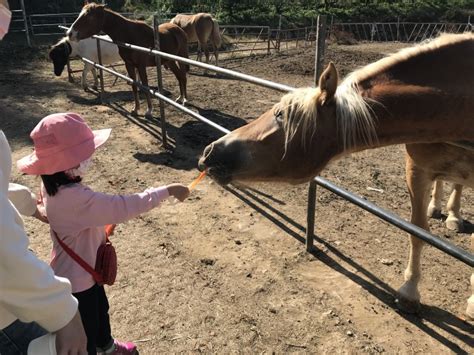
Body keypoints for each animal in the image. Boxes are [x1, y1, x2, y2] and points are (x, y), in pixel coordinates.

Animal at [197, 32, 474, 318]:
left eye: (281, 114)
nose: (209, 151)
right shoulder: (416, 170)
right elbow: (417, 231)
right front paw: (410, 292)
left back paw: (453, 216)